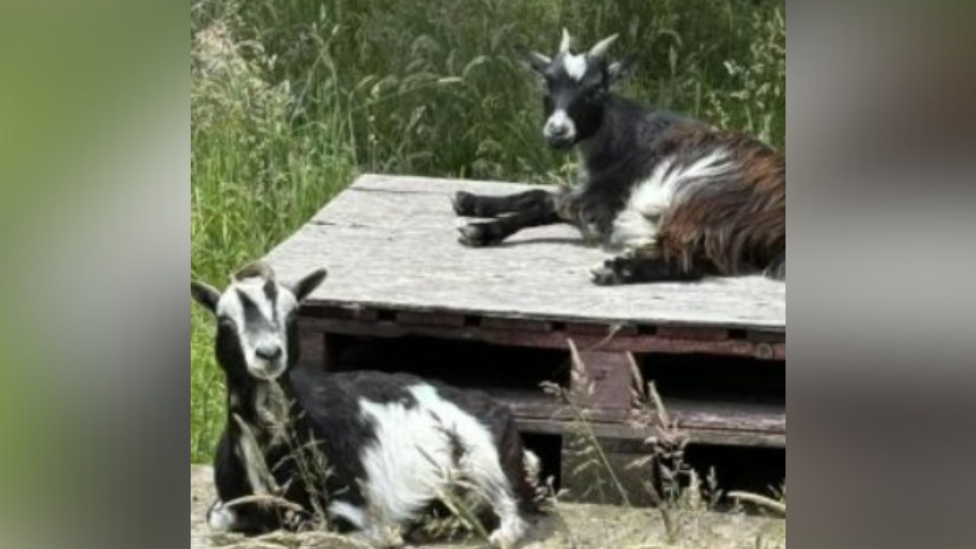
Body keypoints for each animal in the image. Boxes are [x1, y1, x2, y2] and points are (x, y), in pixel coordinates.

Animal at [191, 262, 540, 548]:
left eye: (292, 315)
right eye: (224, 321)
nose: (268, 354)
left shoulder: (351, 508)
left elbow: (329, 533)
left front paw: (396, 531)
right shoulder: (228, 505)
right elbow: (218, 519)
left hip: (486, 461)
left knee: (510, 510)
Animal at [452, 30, 784, 284]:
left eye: (596, 89)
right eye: (546, 82)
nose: (557, 131)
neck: (621, 137)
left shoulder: (604, 198)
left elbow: (548, 203)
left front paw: (480, 229)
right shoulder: (595, 193)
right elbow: (538, 194)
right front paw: (470, 201)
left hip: (701, 193)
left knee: (686, 260)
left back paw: (615, 269)